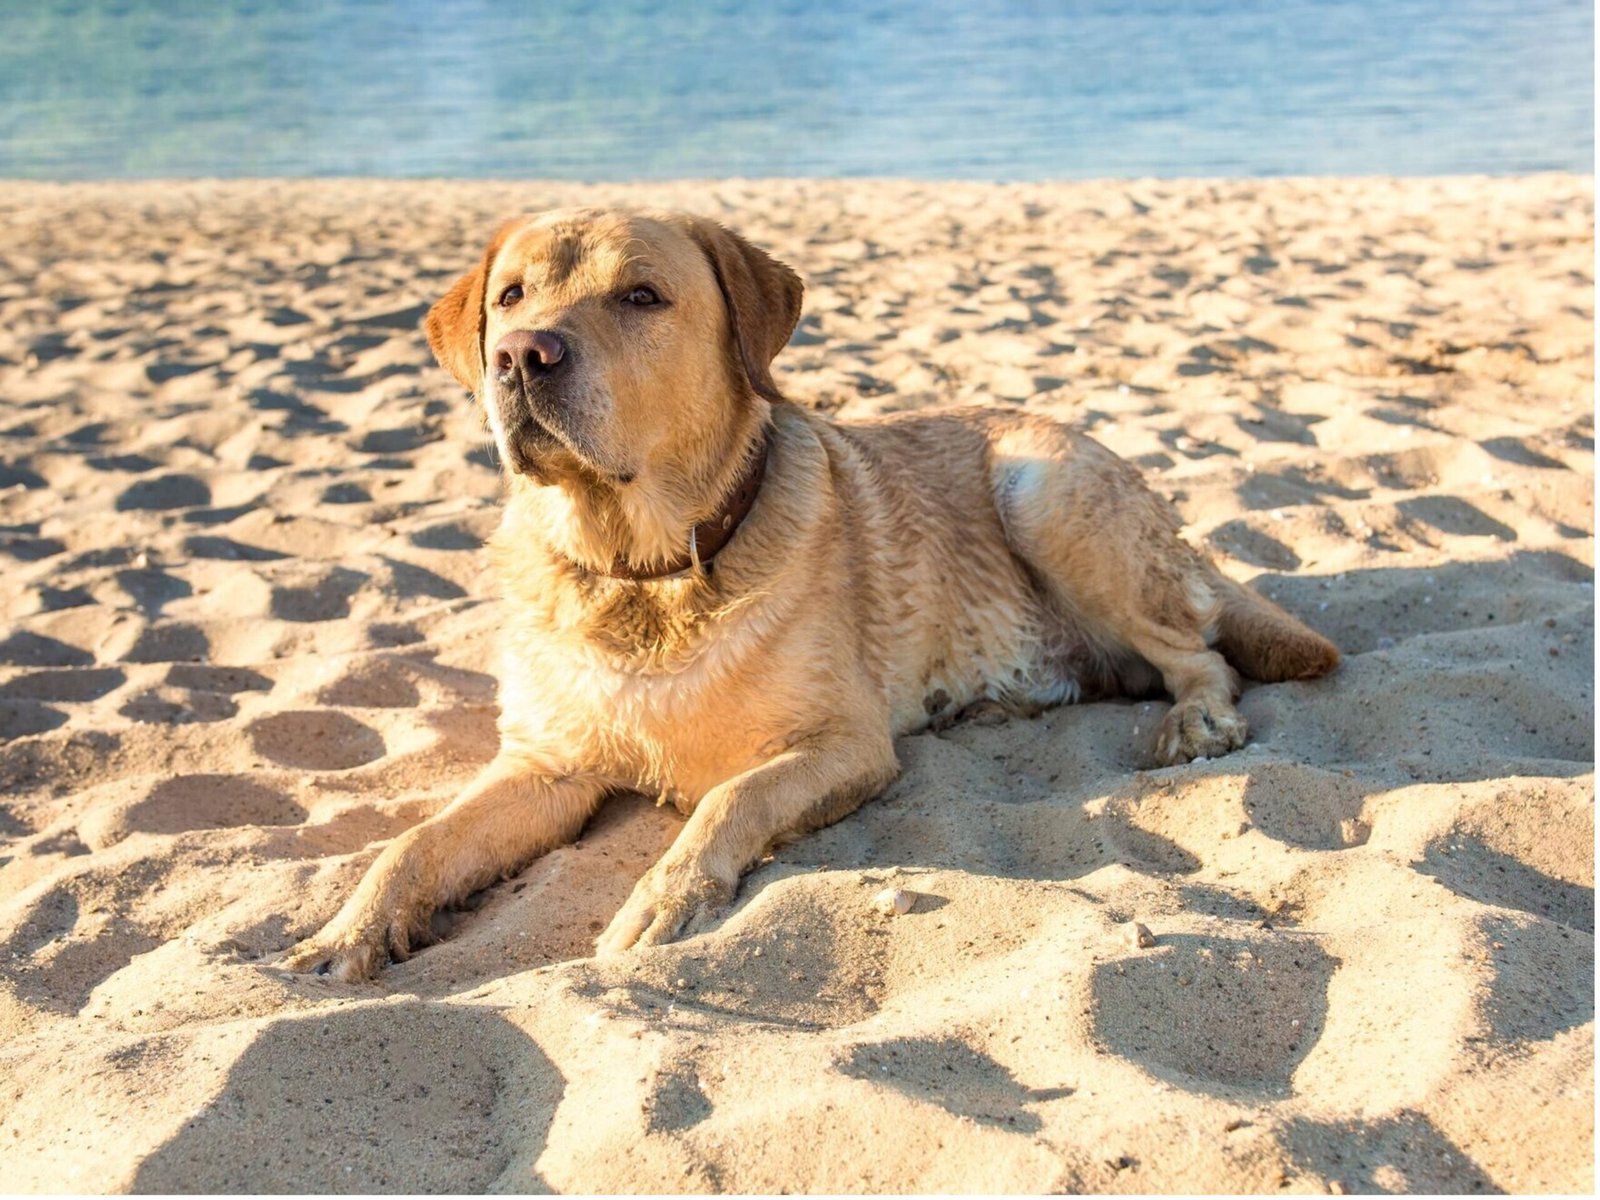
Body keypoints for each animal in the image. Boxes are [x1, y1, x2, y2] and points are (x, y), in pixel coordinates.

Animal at [281, 204, 1344, 979]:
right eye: (509, 297)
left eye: (640, 295)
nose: (520, 355)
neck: (647, 571)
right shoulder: (545, 766)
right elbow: (413, 844)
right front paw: (347, 932)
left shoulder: (843, 744)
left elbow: (725, 803)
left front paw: (665, 900)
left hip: (1042, 490)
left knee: (1200, 652)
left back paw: (1195, 719)